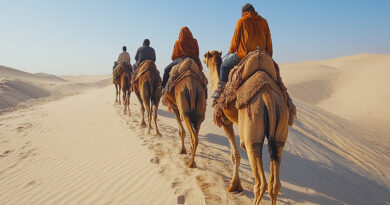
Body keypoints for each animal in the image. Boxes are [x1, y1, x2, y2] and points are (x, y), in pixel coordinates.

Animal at [204, 50, 290, 205]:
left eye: (205, 56)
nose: (203, 59)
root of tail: (267, 94)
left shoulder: (226, 121)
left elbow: (234, 155)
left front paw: (234, 186)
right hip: (280, 126)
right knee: (275, 183)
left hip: (251, 133)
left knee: (260, 183)